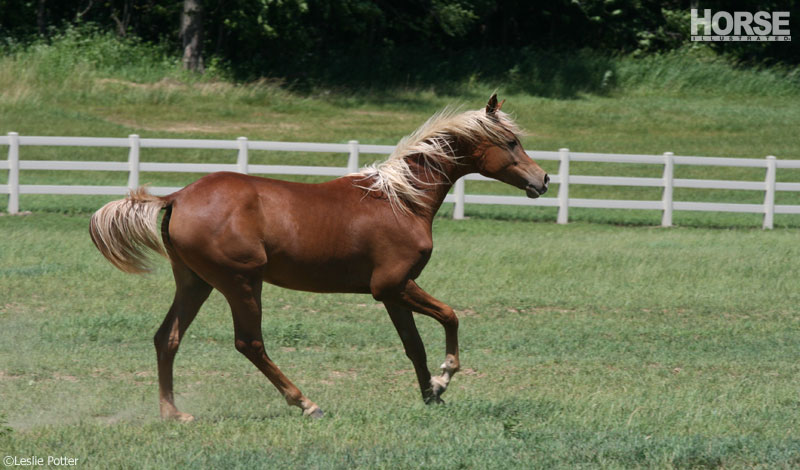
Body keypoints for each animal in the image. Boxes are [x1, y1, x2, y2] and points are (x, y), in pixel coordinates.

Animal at [89, 94, 549, 421]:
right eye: (511, 142)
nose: (543, 180)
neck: (400, 201)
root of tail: (177, 197)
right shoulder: (394, 285)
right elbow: (450, 316)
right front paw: (445, 376)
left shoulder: (391, 293)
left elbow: (413, 346)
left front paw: (431, 395)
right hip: (241, 283)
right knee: (249, 343)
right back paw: (307, 403)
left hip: (195, 282)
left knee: (167, 338)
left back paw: (174, 413)